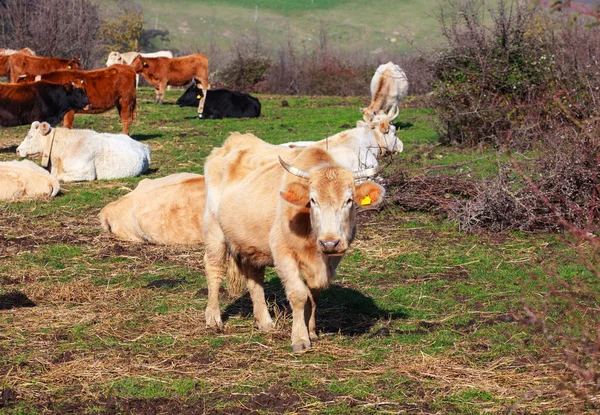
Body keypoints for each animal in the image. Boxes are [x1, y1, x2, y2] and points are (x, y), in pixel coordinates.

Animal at [204, 133, 386, 352]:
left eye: (349, 200)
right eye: (313, 200)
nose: (330, 243)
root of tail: (233, 141)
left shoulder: (332, 258)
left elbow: (314, 295)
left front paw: (312, 331)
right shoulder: (283, 253)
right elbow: (299, 295)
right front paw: (300, 338)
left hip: (250, 243)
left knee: (254, 280)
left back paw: (264, 322)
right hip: (214, 232)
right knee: (214, 271)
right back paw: (213, 319)